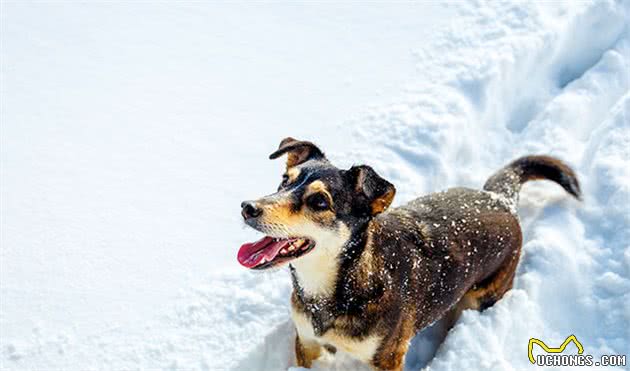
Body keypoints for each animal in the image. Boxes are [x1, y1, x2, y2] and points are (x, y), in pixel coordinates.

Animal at [238, 138, 584, 370]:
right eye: (284, 181)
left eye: (319, 202)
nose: (247, 207)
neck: (342, 286)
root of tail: (499, 198)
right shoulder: (307, 343)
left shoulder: (387, 358)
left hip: (484, 295)